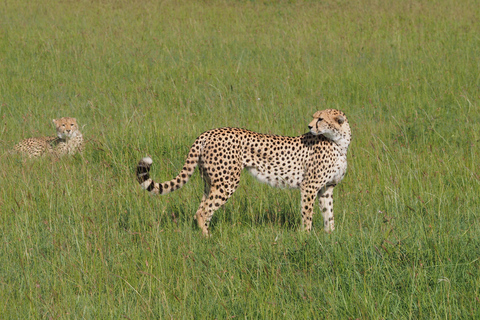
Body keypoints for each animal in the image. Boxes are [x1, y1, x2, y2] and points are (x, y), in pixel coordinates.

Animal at [137, 109, 350, 236]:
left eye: (320, 119)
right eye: (315, 117)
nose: (309, 126)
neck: (339, 142)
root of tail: (207, 132)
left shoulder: (326, 188)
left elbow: (328, 214)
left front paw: (330, 237)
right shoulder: (309, 187)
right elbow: (307, 213)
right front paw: (305, 236)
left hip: (210, 181)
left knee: (202, 208)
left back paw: (205, 234)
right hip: (228, 182)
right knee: (203, 211)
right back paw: (208, 239)